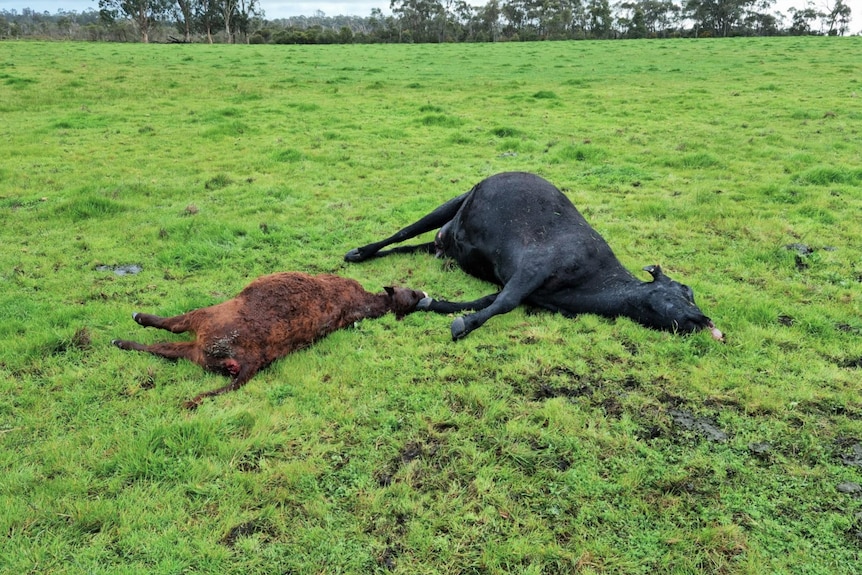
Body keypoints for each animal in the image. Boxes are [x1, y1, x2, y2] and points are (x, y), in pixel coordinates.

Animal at [111, 272, 428, 408]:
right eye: (412, 293)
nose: (425, 294)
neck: (362, 303)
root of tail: (249, 360)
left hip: (202, 321)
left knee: (166, 330)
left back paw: (132, 324)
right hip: (195, 350)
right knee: (160, 348)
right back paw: (123, 341)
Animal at [344, 171, 724, 342]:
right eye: (682, 292)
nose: (706, 320)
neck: (592, 283)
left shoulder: (522, 285)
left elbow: (486, 300)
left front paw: (432, 303)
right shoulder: (534, 267)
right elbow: (503, 303)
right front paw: (463, 325)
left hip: (443, 242)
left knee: (409, 246)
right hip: (456, 200)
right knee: (403, 232)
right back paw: (358, 252)